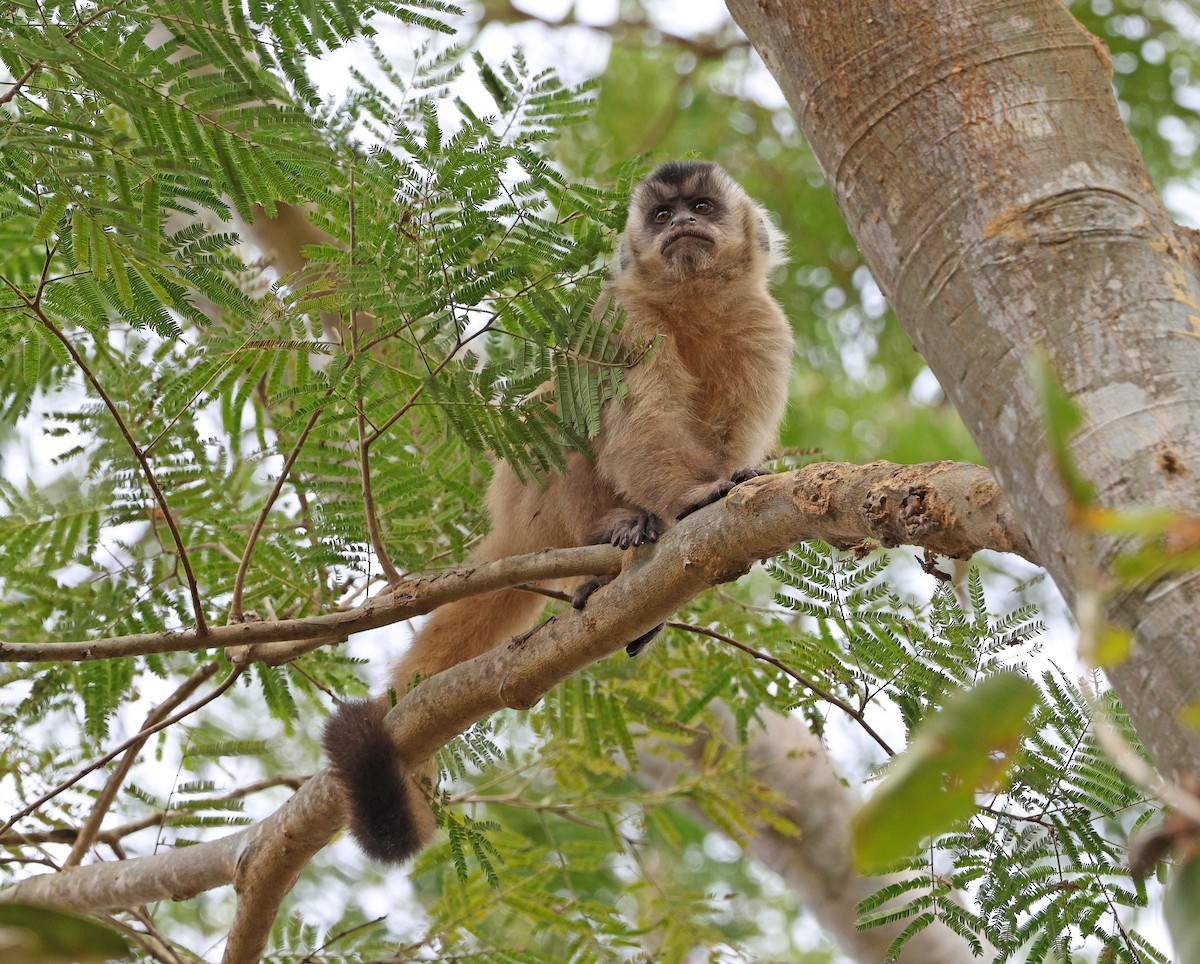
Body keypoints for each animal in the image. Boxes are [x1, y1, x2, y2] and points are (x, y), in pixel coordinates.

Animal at [322, 160, 794, 864]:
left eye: (702, 208)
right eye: (663, 216)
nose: (682, 224)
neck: (692, 303)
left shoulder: (763, 323)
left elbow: (732, 448)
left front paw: (725, 487)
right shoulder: (620, 316)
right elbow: (633, 422)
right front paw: (693, 499)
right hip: (531, 493)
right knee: (562, 408)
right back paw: (613, 540)